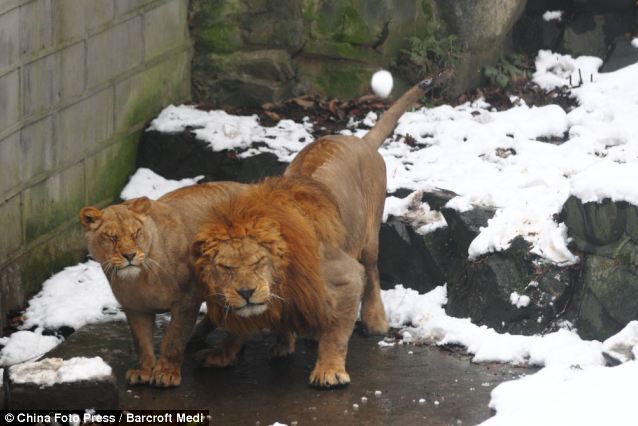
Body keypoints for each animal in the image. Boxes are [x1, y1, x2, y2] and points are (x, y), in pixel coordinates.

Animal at [79, 181, 245, 387]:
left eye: (135, 234)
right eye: (112, 238)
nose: (130, 255)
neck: (140, 278)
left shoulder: (187, 298)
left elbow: (173, 338)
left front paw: (166, 372)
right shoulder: (135, 307)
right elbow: (142, 341)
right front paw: (144, 371)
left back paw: (220, 355)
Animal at [191, 70, 453, 388]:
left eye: (258, 262)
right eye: (225, 267)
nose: (246, 292)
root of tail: (361, 141)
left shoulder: (347, 275)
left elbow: (336, 333)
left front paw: (329, 370)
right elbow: (240, 325)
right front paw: (223, 352)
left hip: (369, 236)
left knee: (372, 271)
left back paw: (375, 321)